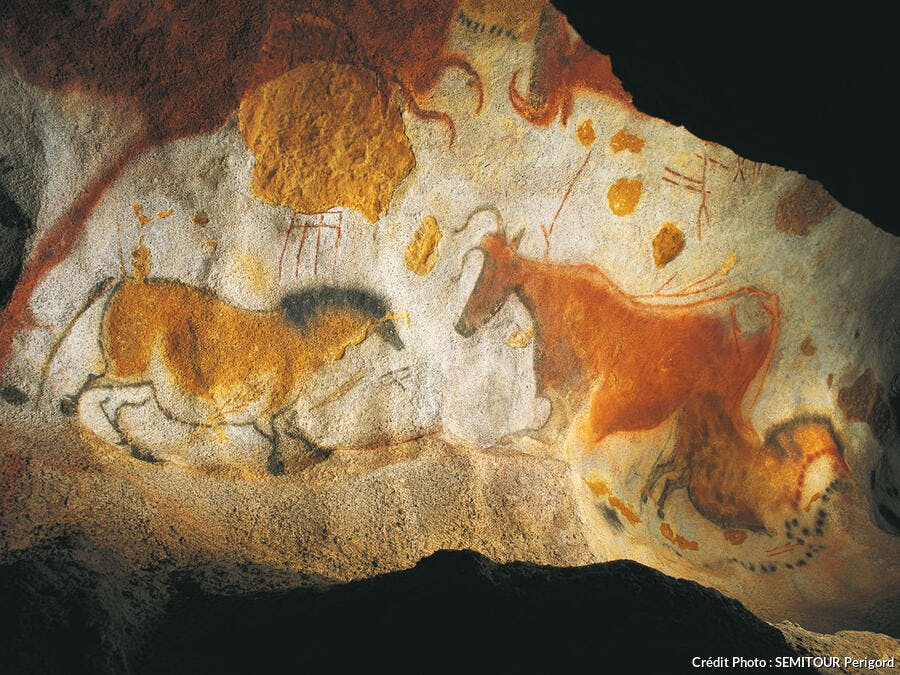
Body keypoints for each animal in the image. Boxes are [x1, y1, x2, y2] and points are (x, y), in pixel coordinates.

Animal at [51, 278, 404, 474]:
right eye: (388, 324)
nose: (402, 348)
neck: (302, 339)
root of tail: (127, 282)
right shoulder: (267, 406)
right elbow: (275, 434)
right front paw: (277, 465)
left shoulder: (283, 407)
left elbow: (295, 430)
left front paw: (318, 452)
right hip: (128, 370)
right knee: (92, 384)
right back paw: (75, 411)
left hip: (142, 386)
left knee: (108, 403)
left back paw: (136, 450)